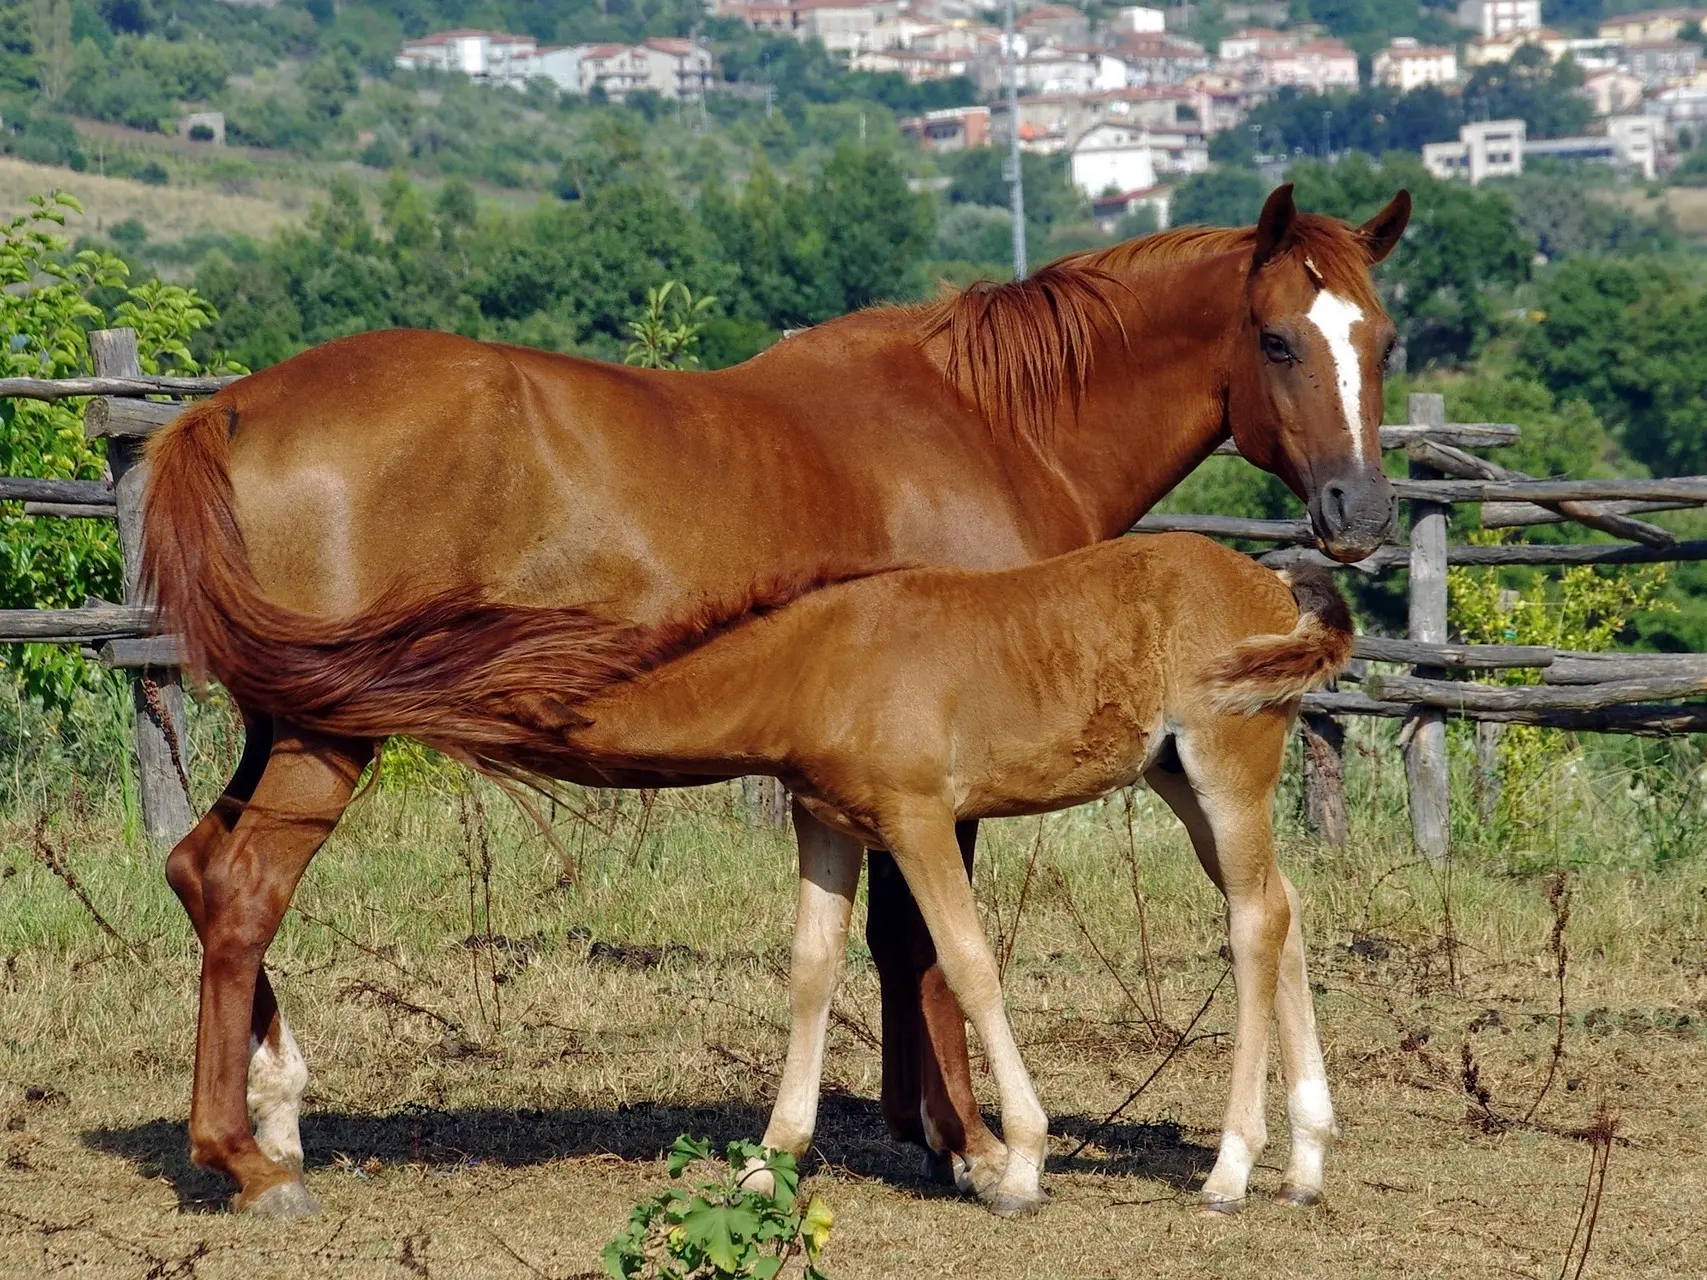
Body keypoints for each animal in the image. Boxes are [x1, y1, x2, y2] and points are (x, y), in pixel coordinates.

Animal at [566, 535, 1351, 1215]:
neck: (818, 663)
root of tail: (1272, 580)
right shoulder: (824, 824)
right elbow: (812, 970)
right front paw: (770, 1161)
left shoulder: (919, 821)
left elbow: (967, 963)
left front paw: (1020, 1165)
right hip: (1177, 780)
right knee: (1283, 903)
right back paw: (1305, 1166)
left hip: (1226, 774)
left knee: (1255, 921)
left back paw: (1231, 1169)